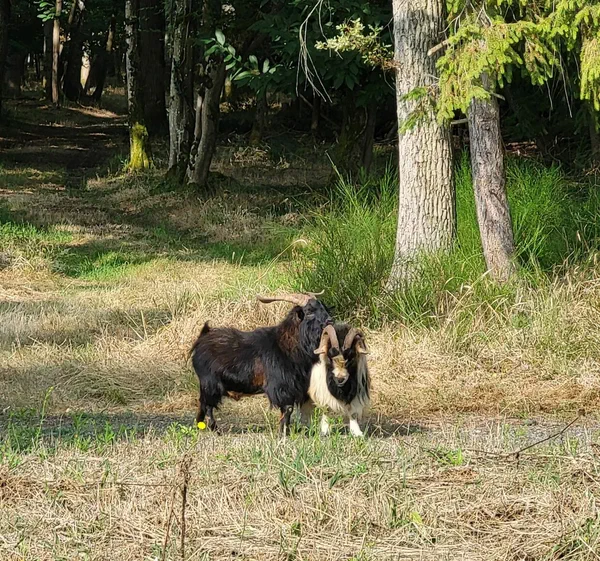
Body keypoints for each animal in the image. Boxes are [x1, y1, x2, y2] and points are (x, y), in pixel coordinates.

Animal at [189, 292, 331, 434]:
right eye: (309, 311)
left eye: (323, 307)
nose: (329, 321)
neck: (285, 344)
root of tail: (202, 339)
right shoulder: (282, 386)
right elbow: (287, 409)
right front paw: (283, 432)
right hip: (210, 383)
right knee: (208, 405)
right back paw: (215, 429)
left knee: (202, 404)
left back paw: (199, 425)